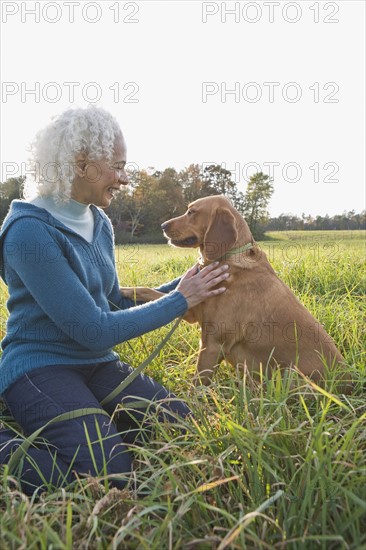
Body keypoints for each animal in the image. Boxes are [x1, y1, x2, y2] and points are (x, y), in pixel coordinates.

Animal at [121, 195, 350, 392]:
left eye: (191, 212)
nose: (162, 226)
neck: (228, 259)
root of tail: (349, 382)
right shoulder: (191, 311)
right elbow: (151, 291)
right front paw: (125, 290)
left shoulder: (212, 344)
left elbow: (196, 387)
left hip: (293, 377)